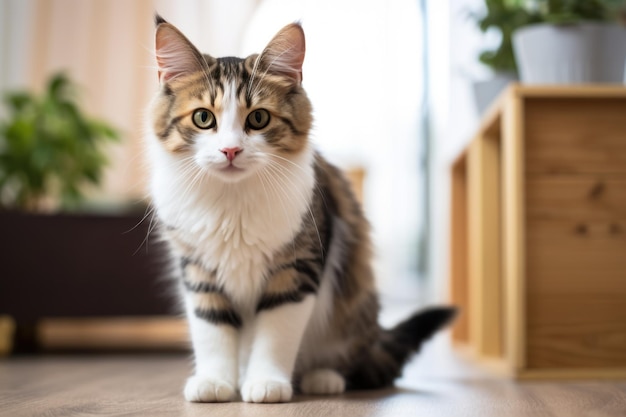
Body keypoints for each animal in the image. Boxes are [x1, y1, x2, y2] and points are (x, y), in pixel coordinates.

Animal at [144, 14, 456, 402]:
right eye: (203, 118)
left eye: (258, 119)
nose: (230, 151)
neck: (233, 203)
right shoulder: (199, 270)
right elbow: (211, 330)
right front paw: (215, 382)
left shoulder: (296, 268)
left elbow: (275, 333)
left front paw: (266, 383)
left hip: (353, 310)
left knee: (356, 364)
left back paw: (323, 378)